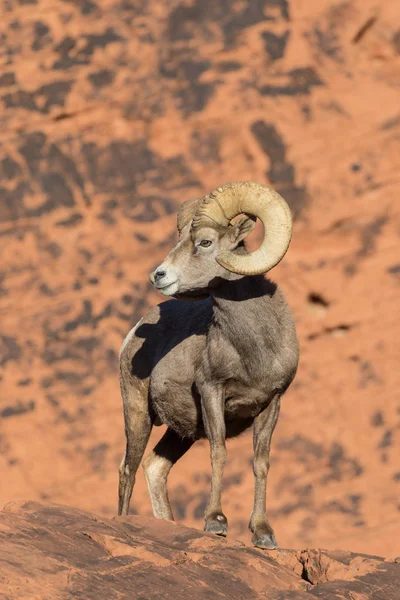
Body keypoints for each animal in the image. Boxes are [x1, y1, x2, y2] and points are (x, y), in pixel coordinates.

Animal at [117, 182, 298, 548]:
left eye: (204, 242)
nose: (158, 275)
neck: (255, 347)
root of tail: (132, 333)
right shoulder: (212, 391)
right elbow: (219, 453)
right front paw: (216, 522)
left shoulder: (271, 403)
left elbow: (261, 462)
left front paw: (263, 533)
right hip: (138, 412)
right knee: (128, 469)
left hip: (179, 432)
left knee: (155, 467)